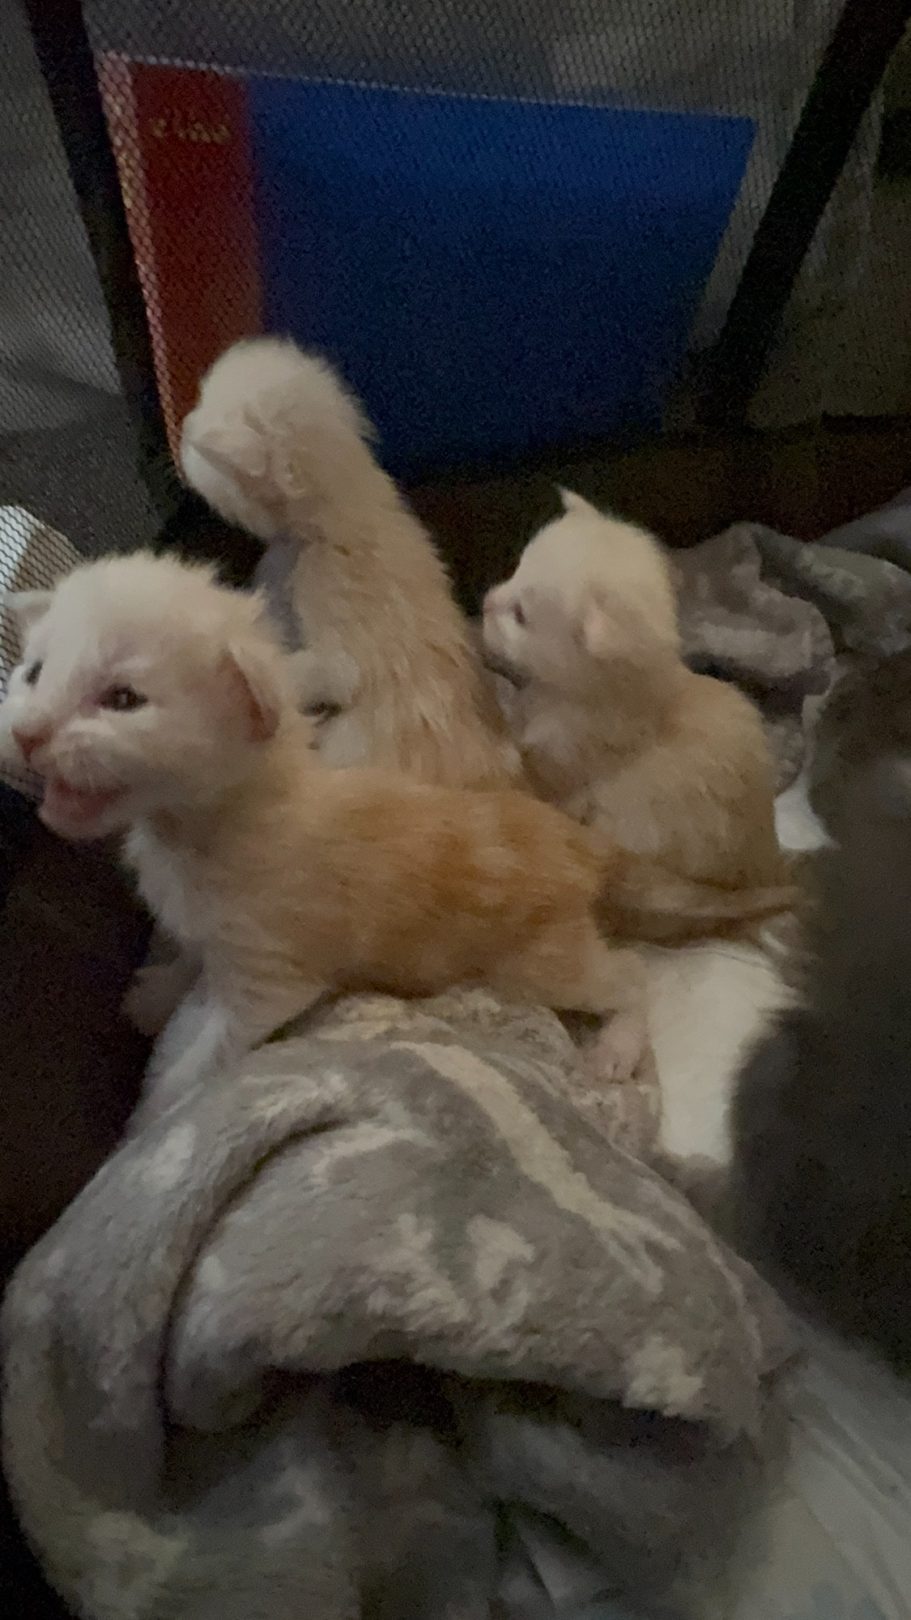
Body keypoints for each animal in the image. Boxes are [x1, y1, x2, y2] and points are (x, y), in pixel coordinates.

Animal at [3, 553, 797, 1095]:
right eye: (33, 673)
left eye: (122, 698)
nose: (28, 736)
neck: (199, 829)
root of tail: (575, 841)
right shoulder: (212, 927)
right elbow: (192, 956)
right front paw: (160, 989)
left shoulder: (275, 972)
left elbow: (217, 1045)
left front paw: (170, 1095)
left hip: (539, 960)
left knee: (628, 975)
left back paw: (618, 1044)